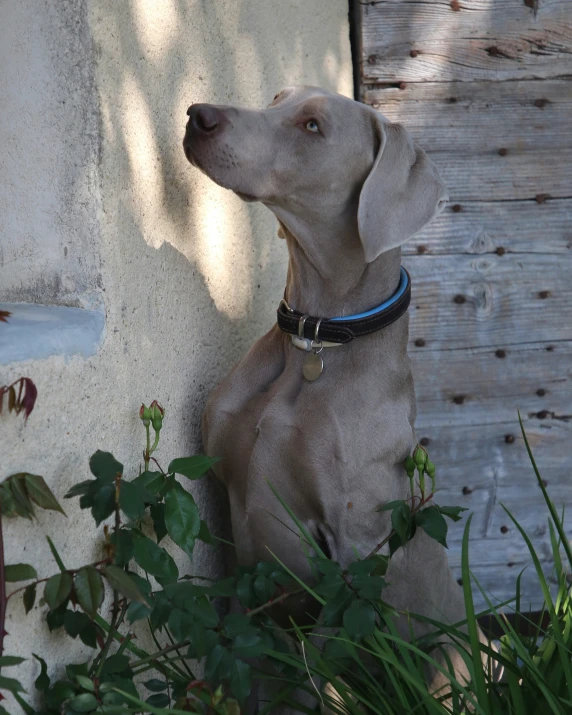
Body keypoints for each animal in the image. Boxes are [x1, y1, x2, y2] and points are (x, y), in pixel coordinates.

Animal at [183, 86, 474, 708]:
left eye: (313, 126)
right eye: (276, 99)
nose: (197, 115)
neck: (316, 342)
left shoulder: (353, 558)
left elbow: (317, 674)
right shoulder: (241, 555)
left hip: (453, 658)